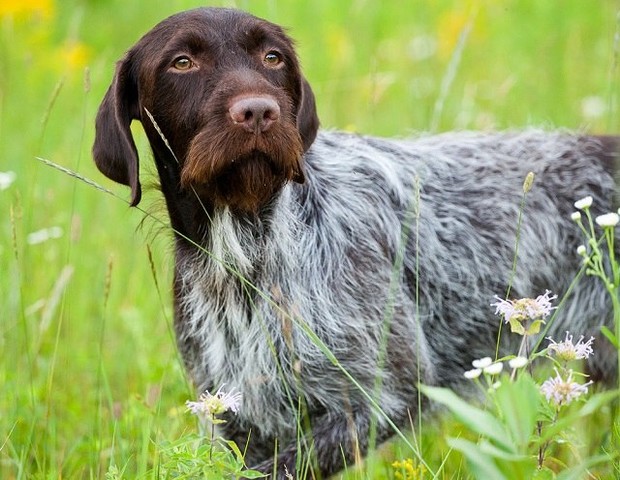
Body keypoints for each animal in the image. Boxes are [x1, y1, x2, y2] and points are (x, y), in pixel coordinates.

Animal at [93, 5, 620, 478]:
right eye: (182, 62)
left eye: (272, 57)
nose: (259, 111)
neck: (248, 245)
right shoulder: (239, 415)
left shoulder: (382, 396)